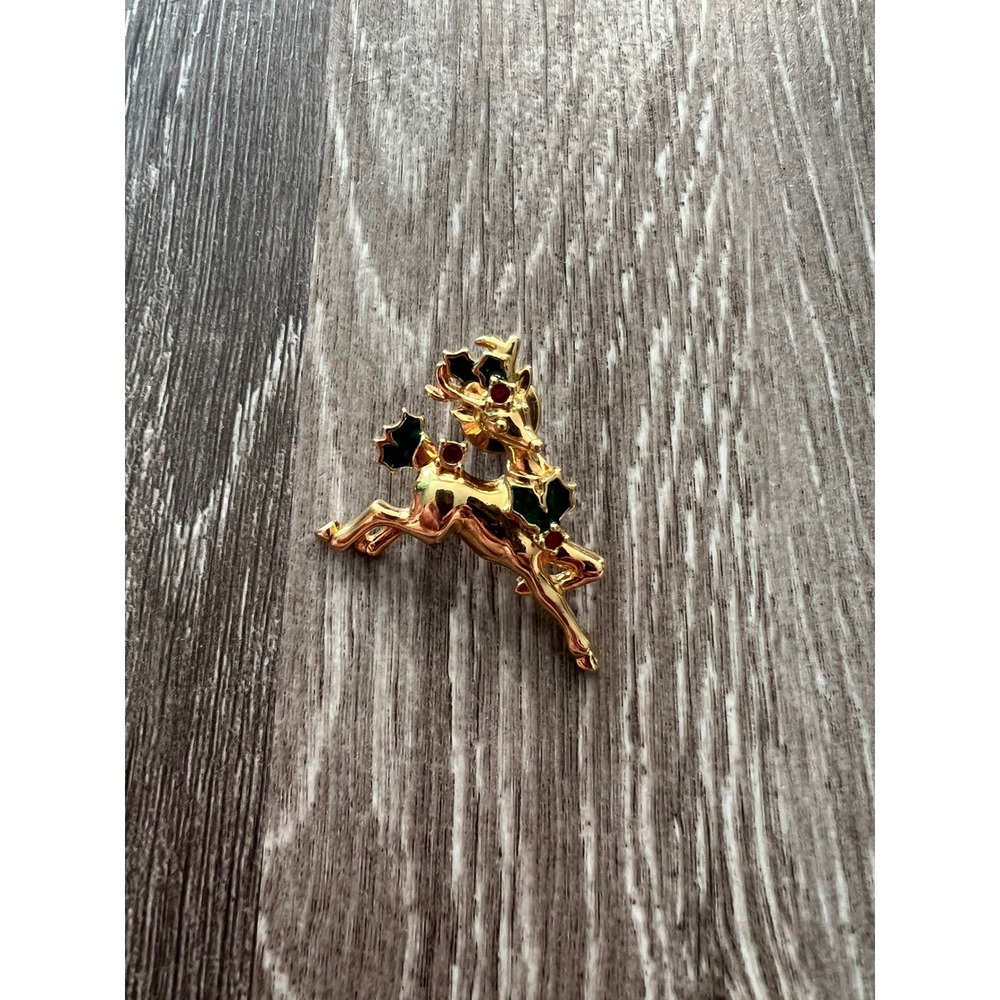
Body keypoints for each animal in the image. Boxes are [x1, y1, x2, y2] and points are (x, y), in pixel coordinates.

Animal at [316, 335, 604, 671]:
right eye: (500, 425)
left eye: (523, 411)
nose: (536, 444)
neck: (528, 489)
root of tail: (428, 461)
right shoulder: (526, 560)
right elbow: (556, 603)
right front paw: (585, 653)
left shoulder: (557, 544)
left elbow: (594, 566)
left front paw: (540, 583)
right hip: (431, 526)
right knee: (379, 508)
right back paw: (336, 536)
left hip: (428, 520)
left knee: (392, 519)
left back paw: (368, 545)